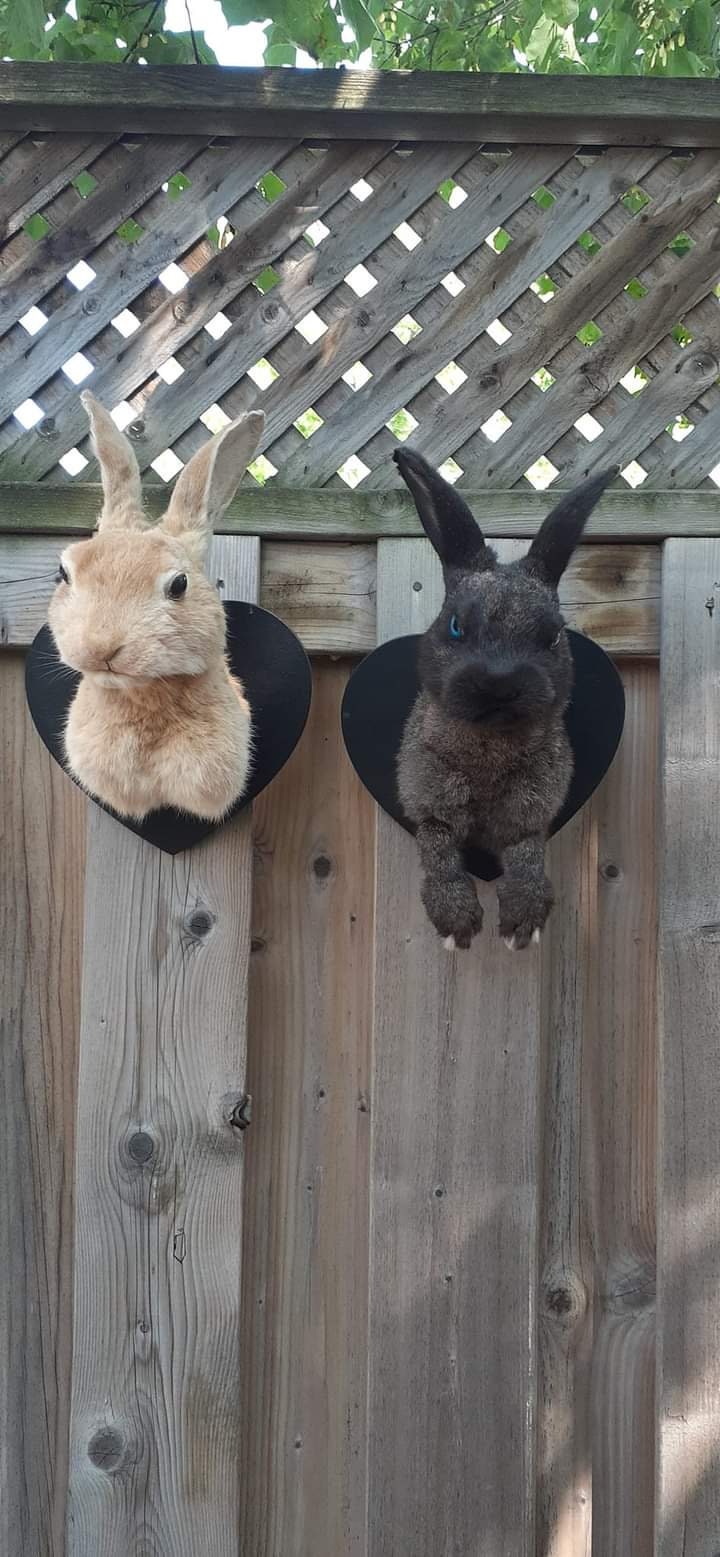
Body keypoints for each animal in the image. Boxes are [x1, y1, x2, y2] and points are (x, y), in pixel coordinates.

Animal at [393, 447, 617, 951]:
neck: (488, 751)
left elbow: (526, 853)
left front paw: (522, 924)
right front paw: (458, 926)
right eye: (456, 626)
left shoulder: (530, 811)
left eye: (552, 636)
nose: (498, 682)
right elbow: (439, 853)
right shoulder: (431, 806)